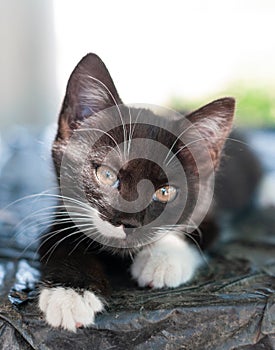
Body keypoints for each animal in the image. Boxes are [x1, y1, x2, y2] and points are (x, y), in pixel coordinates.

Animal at [37, 52, 254, 330]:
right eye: (106, 175)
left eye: (165, 192)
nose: (127, 222)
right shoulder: (63, 209)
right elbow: (58, 241)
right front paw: (70, 293)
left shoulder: (210, 205)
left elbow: (197, 230)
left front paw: (161, 260)